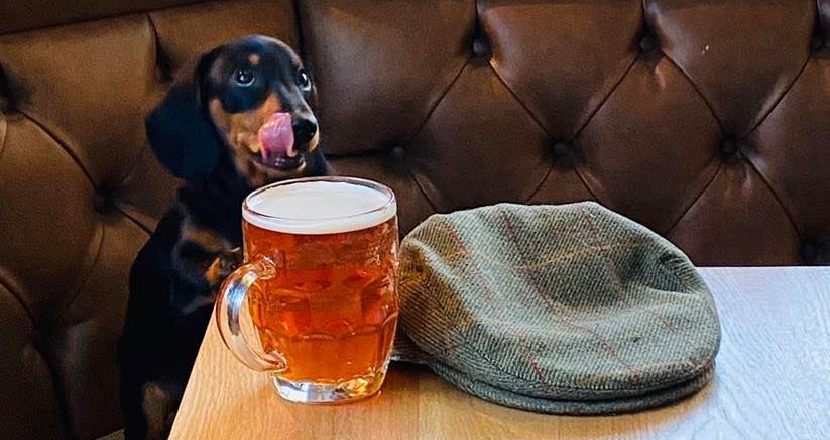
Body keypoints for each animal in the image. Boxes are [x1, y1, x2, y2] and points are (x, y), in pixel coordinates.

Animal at [118, 35, 330, 440]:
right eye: (243, 76)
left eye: (303, 78)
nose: (305, 127)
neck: (239, 196)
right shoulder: (182, 282)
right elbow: (191, 268)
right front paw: (228, 261)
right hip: (145, 400)